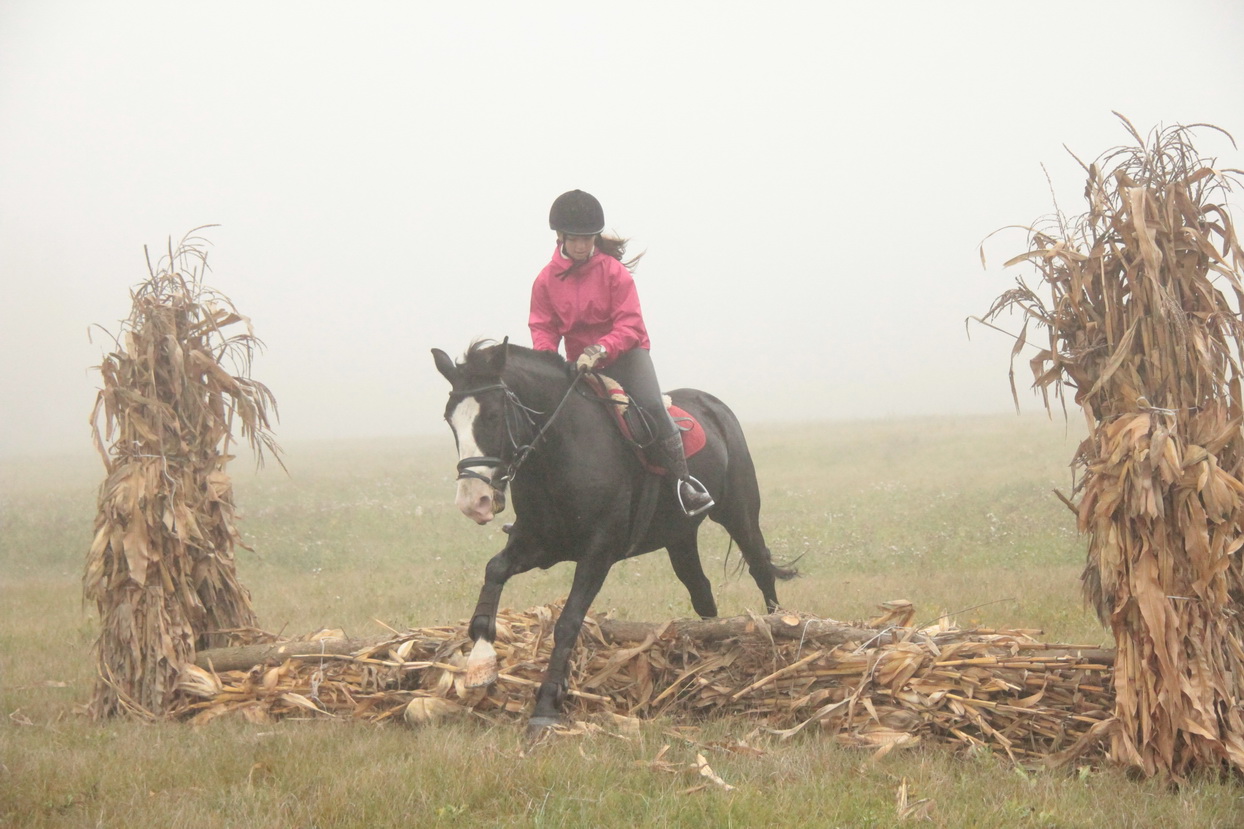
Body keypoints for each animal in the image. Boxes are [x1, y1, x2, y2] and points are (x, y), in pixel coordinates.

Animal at [432, 340, 796, 732]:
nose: (473, 501)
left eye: (493, 416)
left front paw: (546, 705)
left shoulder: (598, 553)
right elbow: (494, 572)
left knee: (760, 568)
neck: (560, 452)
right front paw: (480, 662)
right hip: (679, 538)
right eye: (450, 420)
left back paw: (780, 637)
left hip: (738, 514)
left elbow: (568, 623)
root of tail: (715, 407)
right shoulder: (538, 545)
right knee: (702, 592)